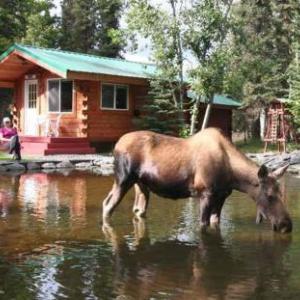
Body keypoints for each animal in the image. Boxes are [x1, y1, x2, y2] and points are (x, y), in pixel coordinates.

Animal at [103, 127, 292, 233]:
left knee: (137, 210)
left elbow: (215, 223)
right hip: (123, 179)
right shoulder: (205, 193)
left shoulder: (222, 196)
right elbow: (203, 225)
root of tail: (116, 146)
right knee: (107, 205)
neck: (233, 176)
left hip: (141, 186)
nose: (287, 225)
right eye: (269, 196)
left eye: (282, 193)